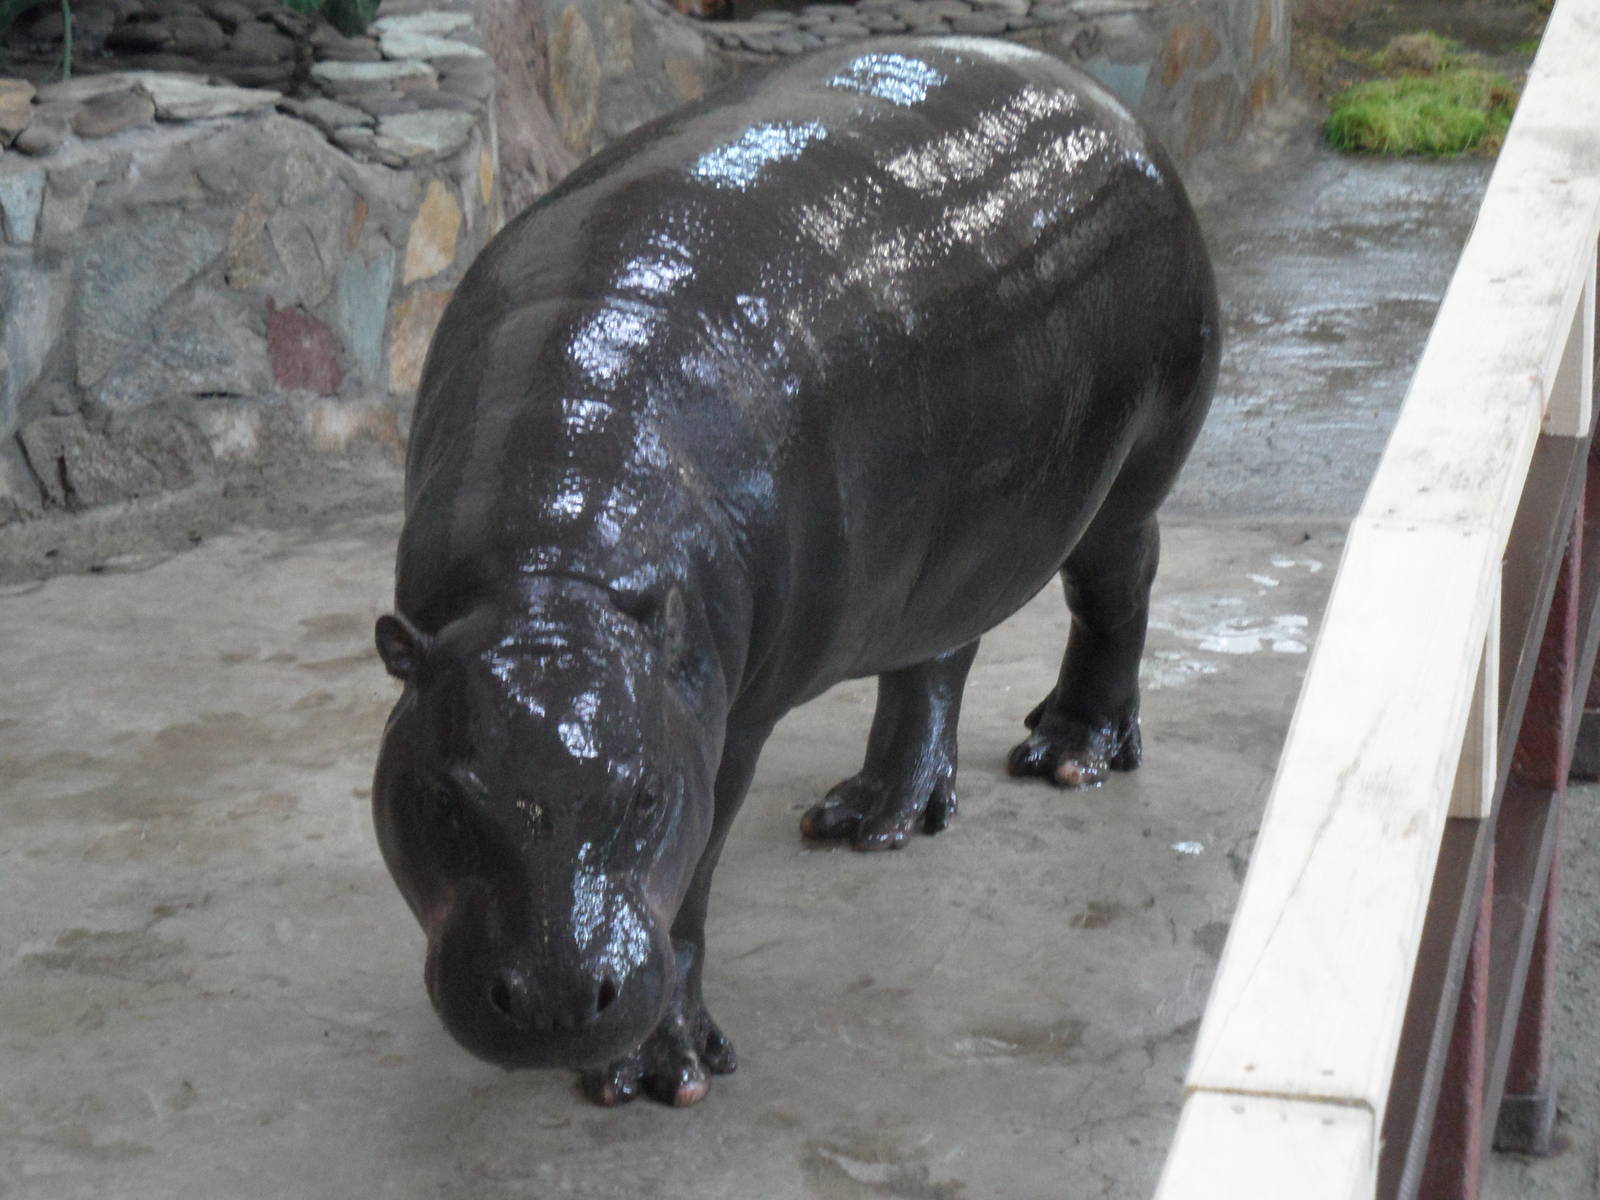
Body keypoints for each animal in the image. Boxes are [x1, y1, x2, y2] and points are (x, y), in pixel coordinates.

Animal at [372, 37, 1218, 1106]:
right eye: (442, 800)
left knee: (1119, 587)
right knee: (938, 653)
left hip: (1127, 477)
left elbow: (692, 874)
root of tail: (1110, 100)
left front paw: (663, 1076)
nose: (560, 1004)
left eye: (644, 797)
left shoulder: (720, 722)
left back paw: (1068, 755)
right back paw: (875, 817)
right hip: (954, 543)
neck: (554, 571)